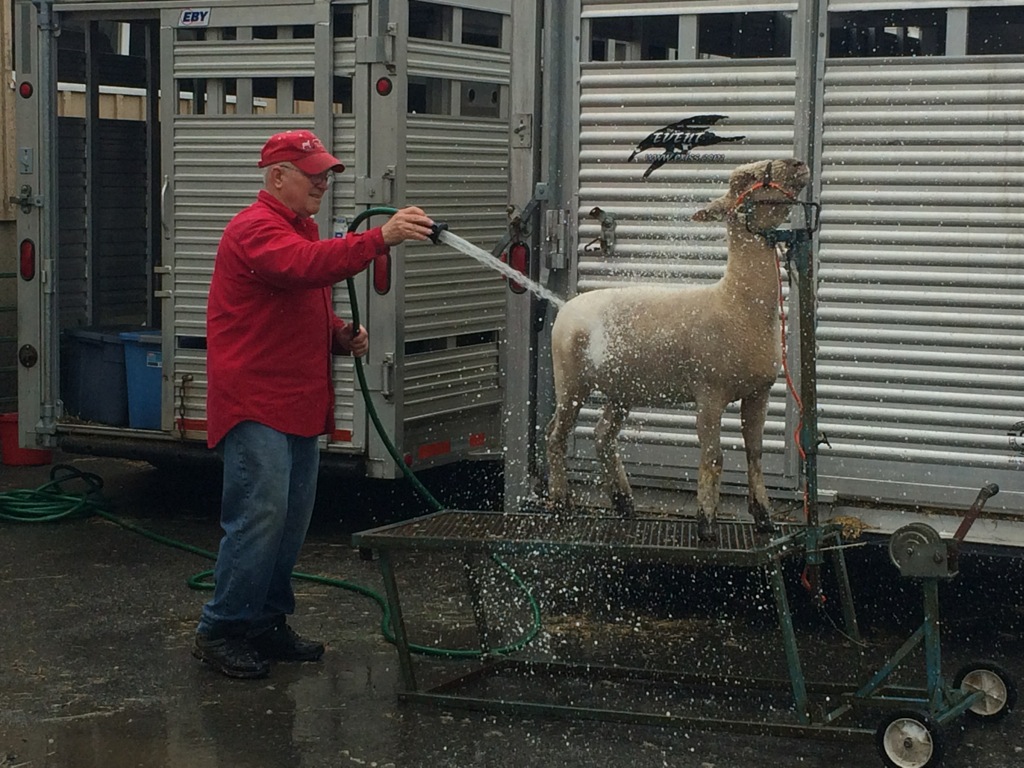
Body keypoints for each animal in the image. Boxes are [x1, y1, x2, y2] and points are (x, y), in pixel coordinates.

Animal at [545, 157, 811, 542]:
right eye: (747, 177)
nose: (797, 164)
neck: (734, 303)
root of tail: (567, 306)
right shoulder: (709, 392)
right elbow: (713, 456)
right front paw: (707, 523)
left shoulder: (758, 391)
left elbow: (755, 453)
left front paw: (764, 518)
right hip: (569, 381)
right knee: (556, 435)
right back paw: (561, 502)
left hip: (621, 389)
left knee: (602, 436)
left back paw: (624, 502)